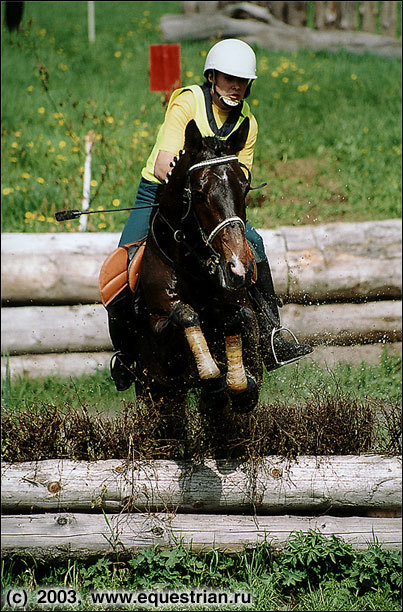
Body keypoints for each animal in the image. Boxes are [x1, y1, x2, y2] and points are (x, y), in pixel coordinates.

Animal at [128, 117, 264, 418]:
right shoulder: (159, 331)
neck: (196, 268)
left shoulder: (244, 308)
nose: (239, 268)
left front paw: (239, 381)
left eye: (244, 188)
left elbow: (240, 319)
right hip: (153, 391)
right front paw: (211, 372)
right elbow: (185, 314)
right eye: (200, 194)